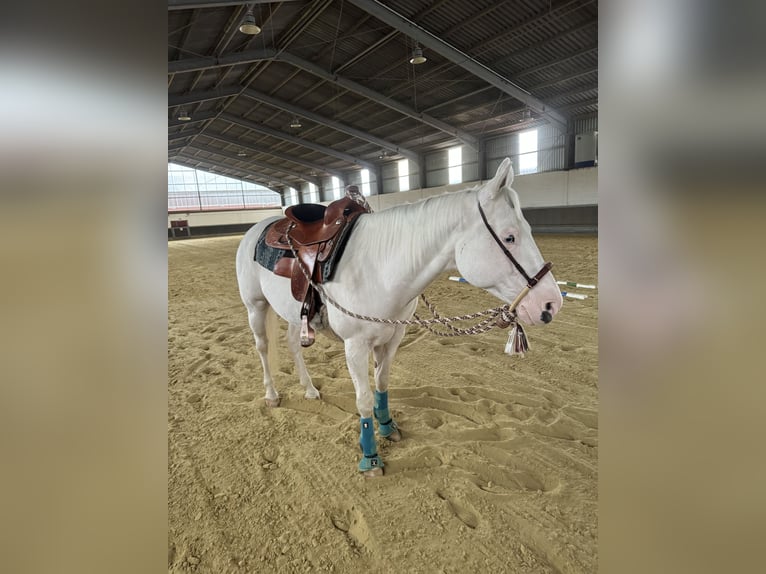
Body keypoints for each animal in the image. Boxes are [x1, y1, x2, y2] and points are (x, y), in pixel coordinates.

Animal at [236, 158, 564, 476]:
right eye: (509, 237)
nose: (551, 303)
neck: (378, 268)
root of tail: (259, 227)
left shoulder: (392, 337)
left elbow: (382, 385)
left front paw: (387, 426)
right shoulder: (355, 346)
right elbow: (364, 399)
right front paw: (370, 456)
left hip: (294, 314)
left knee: (293, 345)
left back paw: (309, 389)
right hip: (256, 307)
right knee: (263, 347)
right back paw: (272, 394)